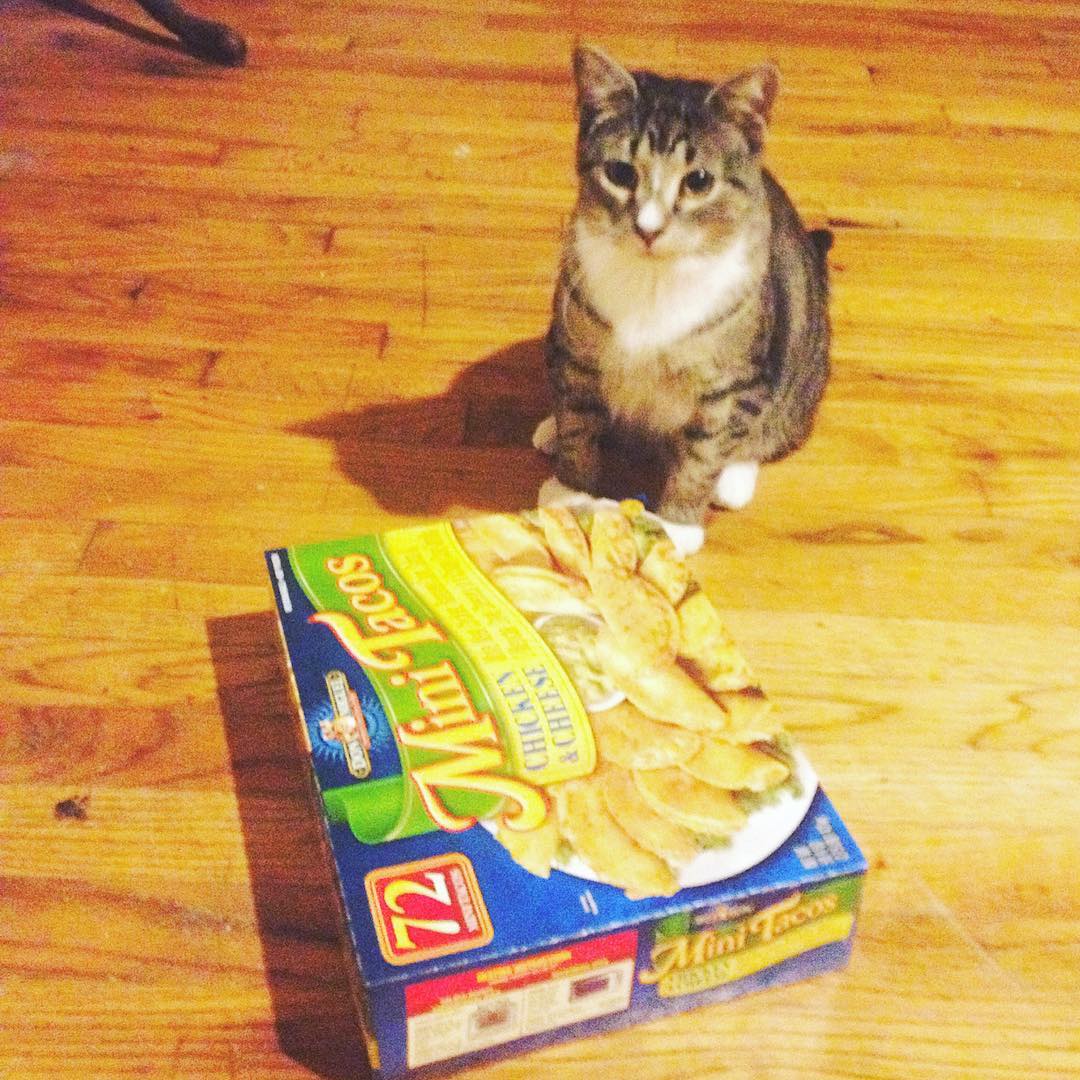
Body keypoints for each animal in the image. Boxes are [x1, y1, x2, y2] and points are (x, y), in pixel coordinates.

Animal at [536, 44, 832, 554]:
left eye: (698, 181)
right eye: (619, 173)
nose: (648, 228)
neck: (654, 279)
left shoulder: (727, 386)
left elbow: (703, 454)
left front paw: (677, 524)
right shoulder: (576, 352)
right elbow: (577, 422)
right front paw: (570, 490)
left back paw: (734, 478)